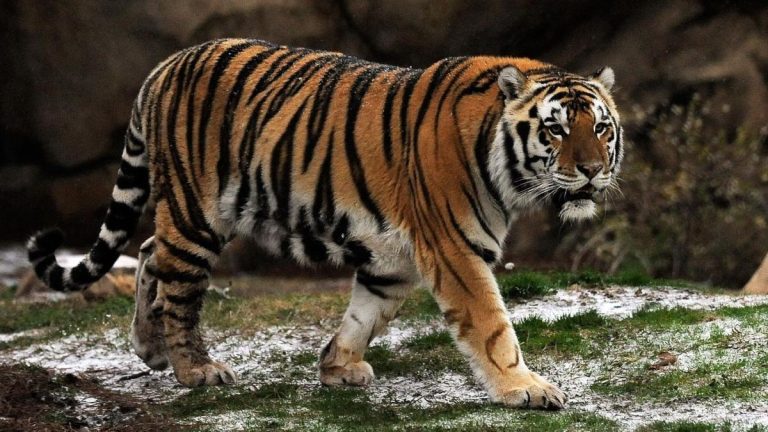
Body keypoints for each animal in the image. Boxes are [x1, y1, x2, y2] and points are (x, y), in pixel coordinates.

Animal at [27, 38, 622, 410]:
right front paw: (526, 388)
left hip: (199, 213)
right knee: (178, 285)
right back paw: (195, 369)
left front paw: (337, 366)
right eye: (555, 130)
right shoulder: (455, 250)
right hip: (198, 212)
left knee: (151, 251)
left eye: (600, 128)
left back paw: (150, 349)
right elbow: (493, 326)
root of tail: (163, 66)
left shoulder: (394, 260)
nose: (592, 170)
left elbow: (365, 314)